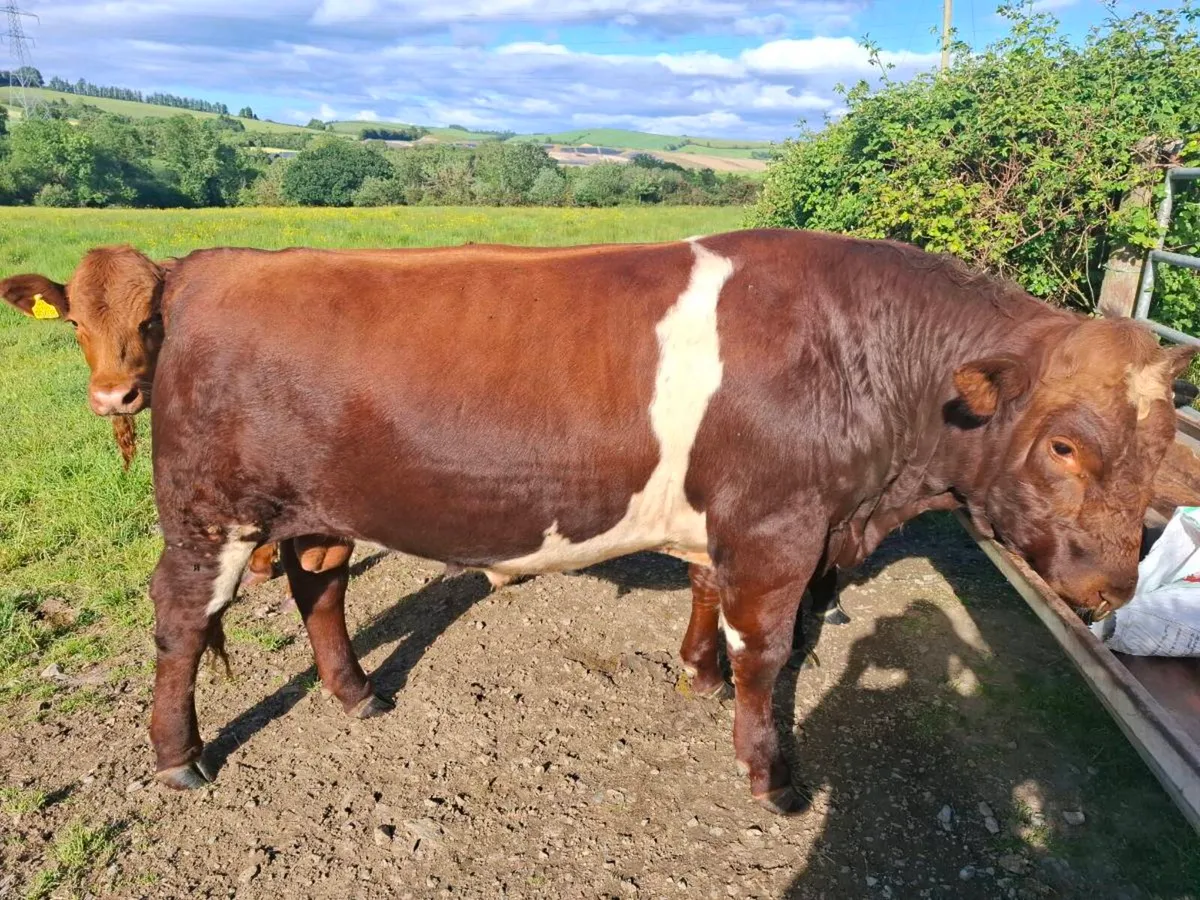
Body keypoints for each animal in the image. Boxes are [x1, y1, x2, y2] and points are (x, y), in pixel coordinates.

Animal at [128, 228, 1190, 813]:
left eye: (1162, 445)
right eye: (1064, 446)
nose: (1110, 586)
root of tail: (206, 267)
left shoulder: (738, 521)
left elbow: (707, 593)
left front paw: (697, 675)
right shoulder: (778, 529)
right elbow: (769, 648)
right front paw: (771, 773)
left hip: (316, 510)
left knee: (320, 586)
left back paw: (356, 695)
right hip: (208, 512)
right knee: (179, 617)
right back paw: (179, 758)